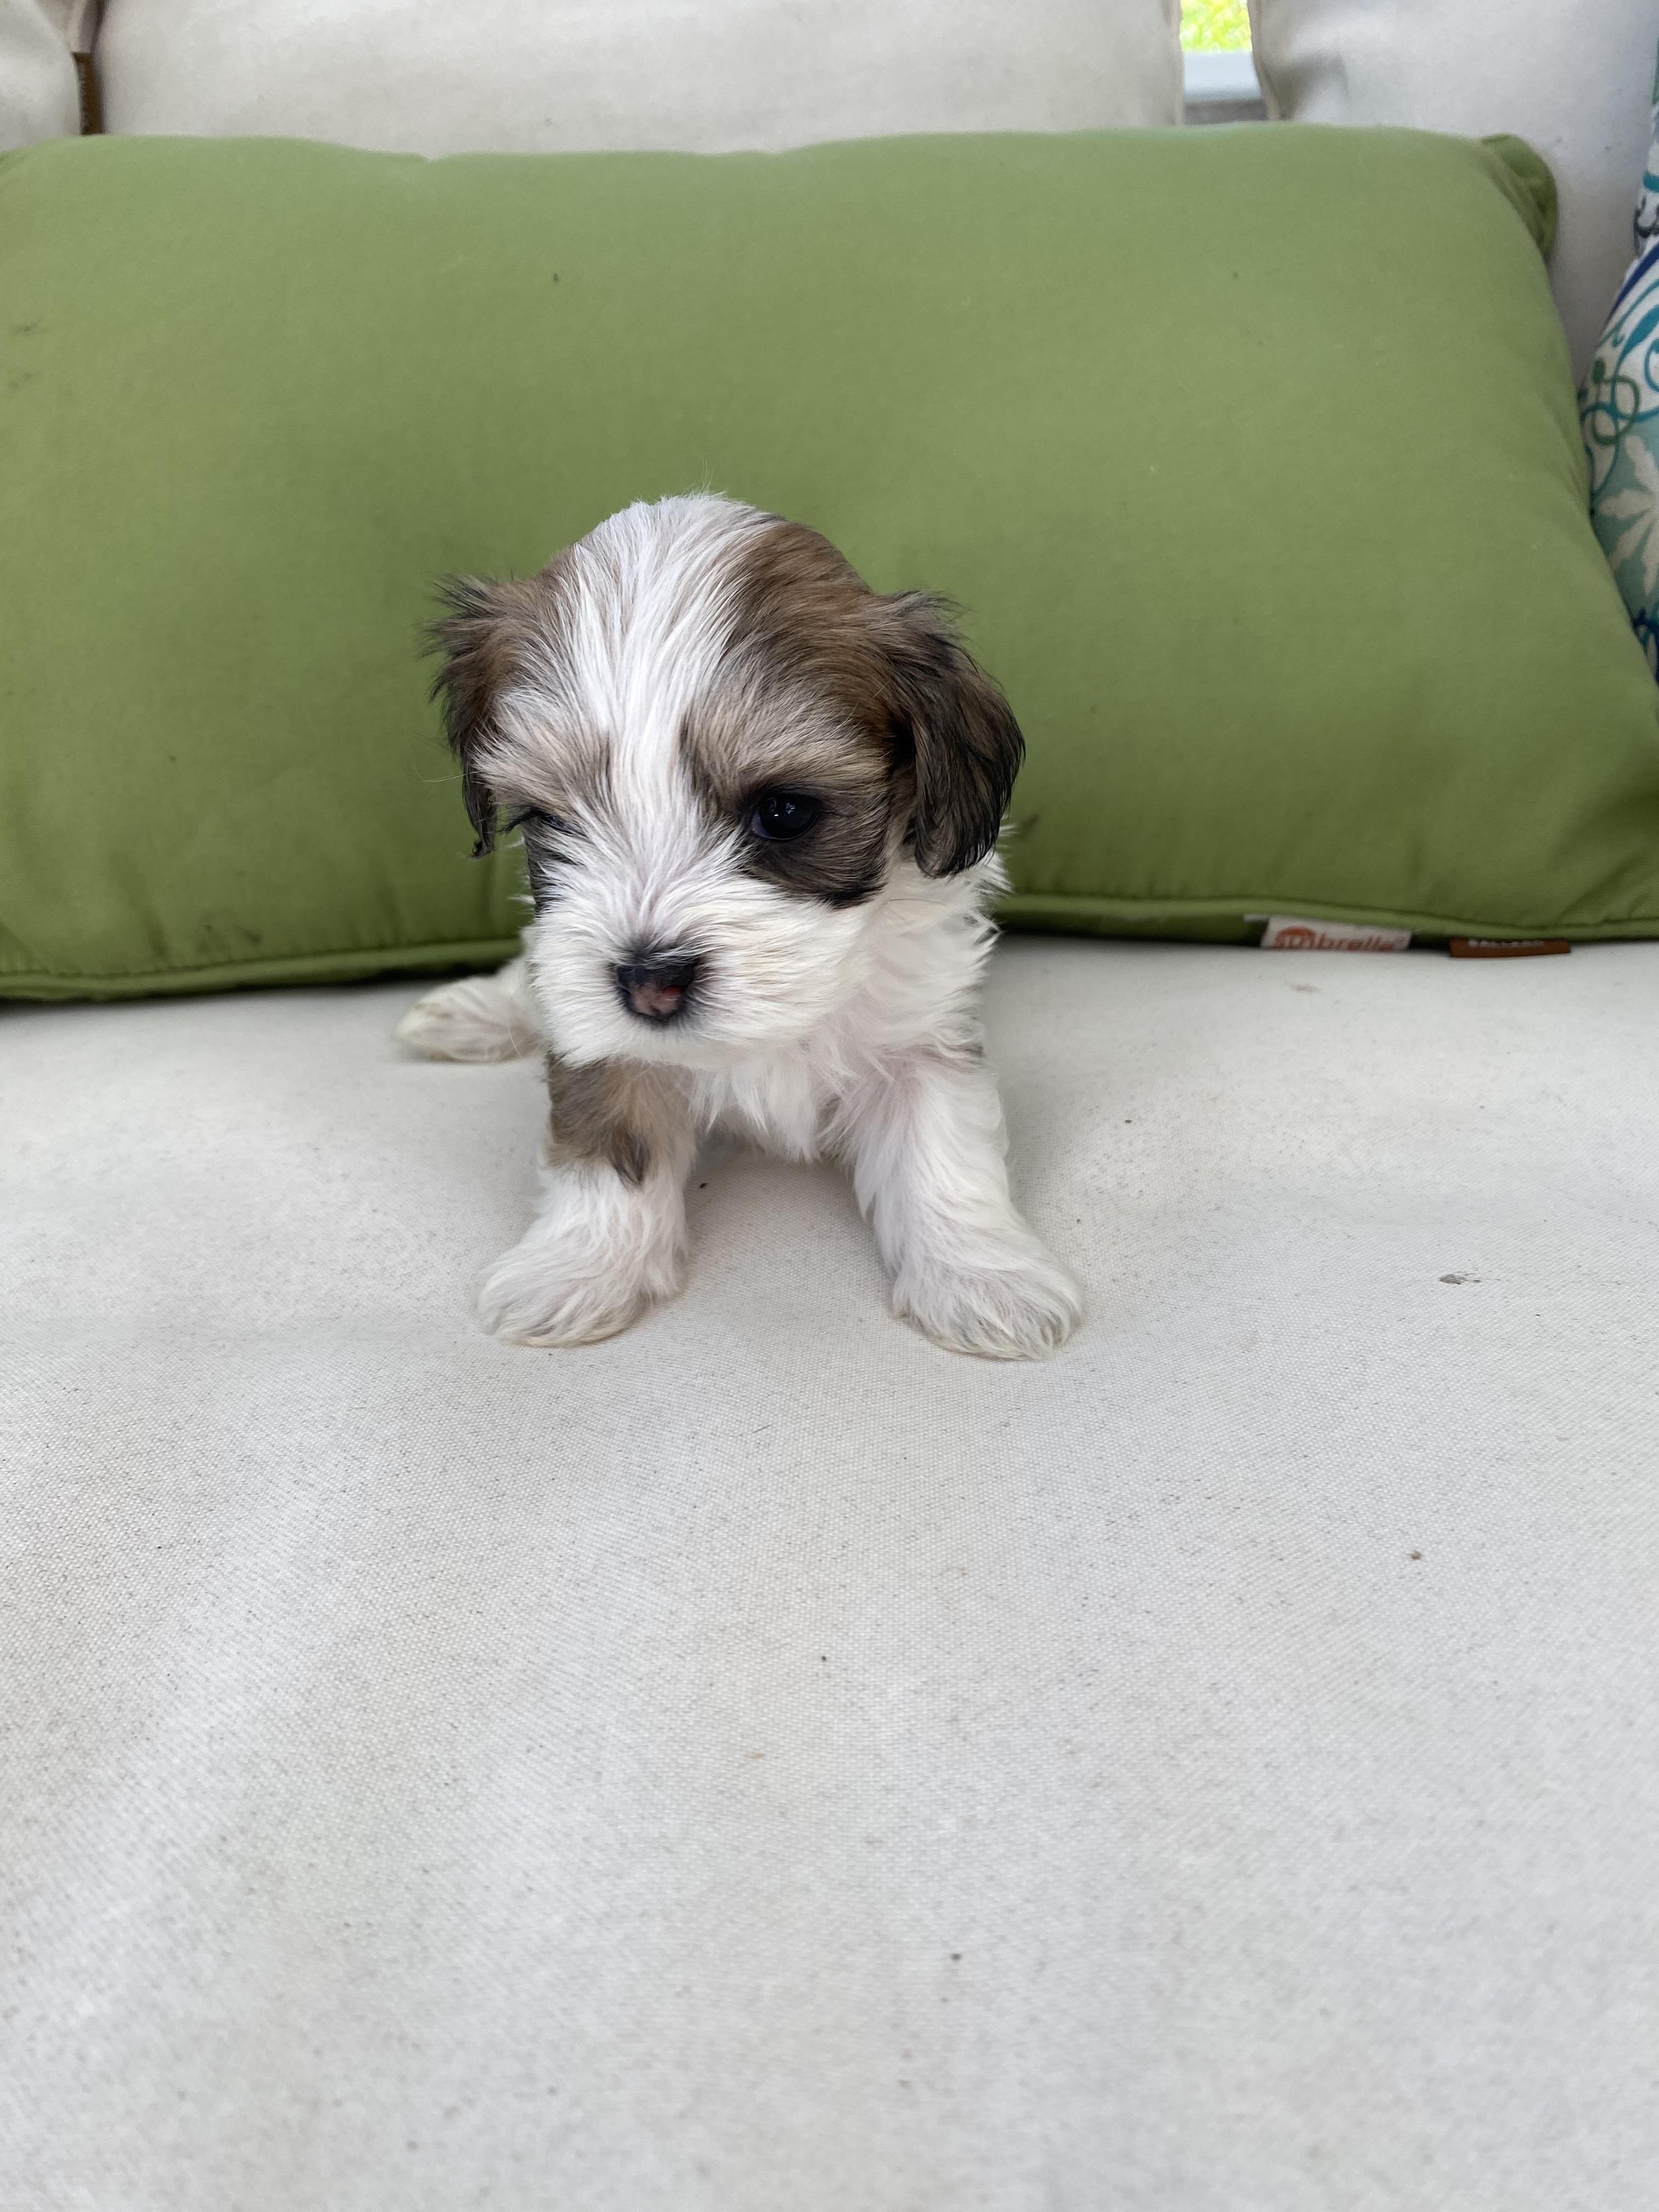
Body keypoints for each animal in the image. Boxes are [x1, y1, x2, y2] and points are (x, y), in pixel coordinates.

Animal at [398, 493, 1080, 1358]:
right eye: (548, 820)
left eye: (784, 813)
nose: (650, 984)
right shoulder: (600, 1034)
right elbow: (609, 1142)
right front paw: (581, 1266)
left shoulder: (920, 1032)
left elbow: (940, 1147)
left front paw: (983, 1276)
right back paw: (479, 1013)